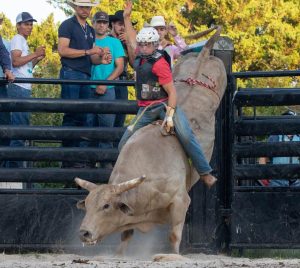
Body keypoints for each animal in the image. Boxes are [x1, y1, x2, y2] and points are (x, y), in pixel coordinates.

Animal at [75, 26, 227, 255]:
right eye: (88, 203)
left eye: (106, 206)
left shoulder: (180, 201)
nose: (84, 232)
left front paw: (173, 255)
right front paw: (119, 254)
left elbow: (174, 235)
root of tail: (204, 54)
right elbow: (126, 235)